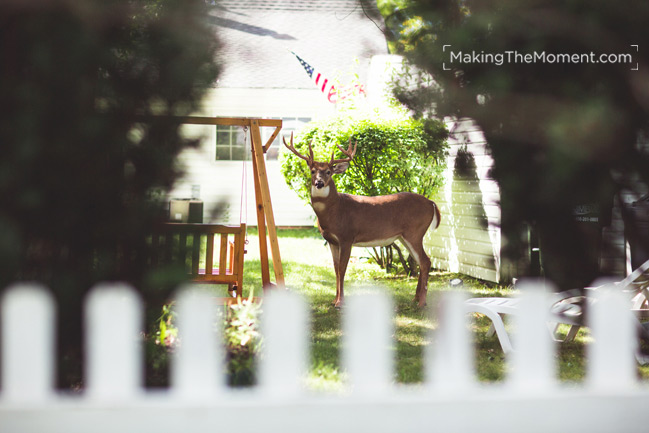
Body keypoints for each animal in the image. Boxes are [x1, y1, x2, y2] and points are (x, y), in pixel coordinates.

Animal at [284, 133, 440, 306]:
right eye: (312, 171)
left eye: (329, 172)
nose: (319, 183)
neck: (335, 210)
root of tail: (431, 203)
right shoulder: (332, 241)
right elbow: (335, 269)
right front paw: (334, 300)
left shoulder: (347, 237)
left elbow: (342, 269)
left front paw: (340, 302)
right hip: (405, 236)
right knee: (420, 262)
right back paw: (415, 298)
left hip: (415, 232)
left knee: (425, 261)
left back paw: (422, 302)